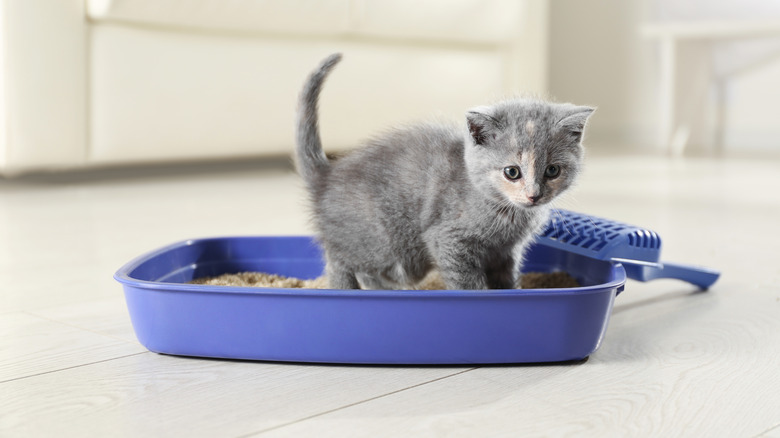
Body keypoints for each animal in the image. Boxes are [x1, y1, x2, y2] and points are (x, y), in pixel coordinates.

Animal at [296, 53, 596, 290]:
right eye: (512, 172)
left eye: (552, 170)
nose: (534, 195)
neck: (505, 212)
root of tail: (327, 176)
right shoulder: (449, 239)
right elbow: (468, 283)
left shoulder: (506, 253)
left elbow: (506, 280)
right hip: (386, 244)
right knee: (339, 261)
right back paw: (345, 289)